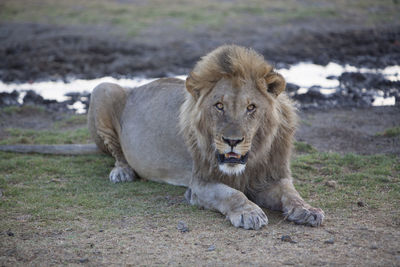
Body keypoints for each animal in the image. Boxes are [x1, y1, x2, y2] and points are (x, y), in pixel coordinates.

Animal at [84, 45, 322, 229]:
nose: (232, 142)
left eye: (251, 107)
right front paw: (249, 213)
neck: (251, 159)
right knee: (117, 153)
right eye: (219, 106)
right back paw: (122, 172)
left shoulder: (272, 176)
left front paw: (307, 210)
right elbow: (232, 194)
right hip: (103, 89)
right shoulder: (200, 184)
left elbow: (290, 193)